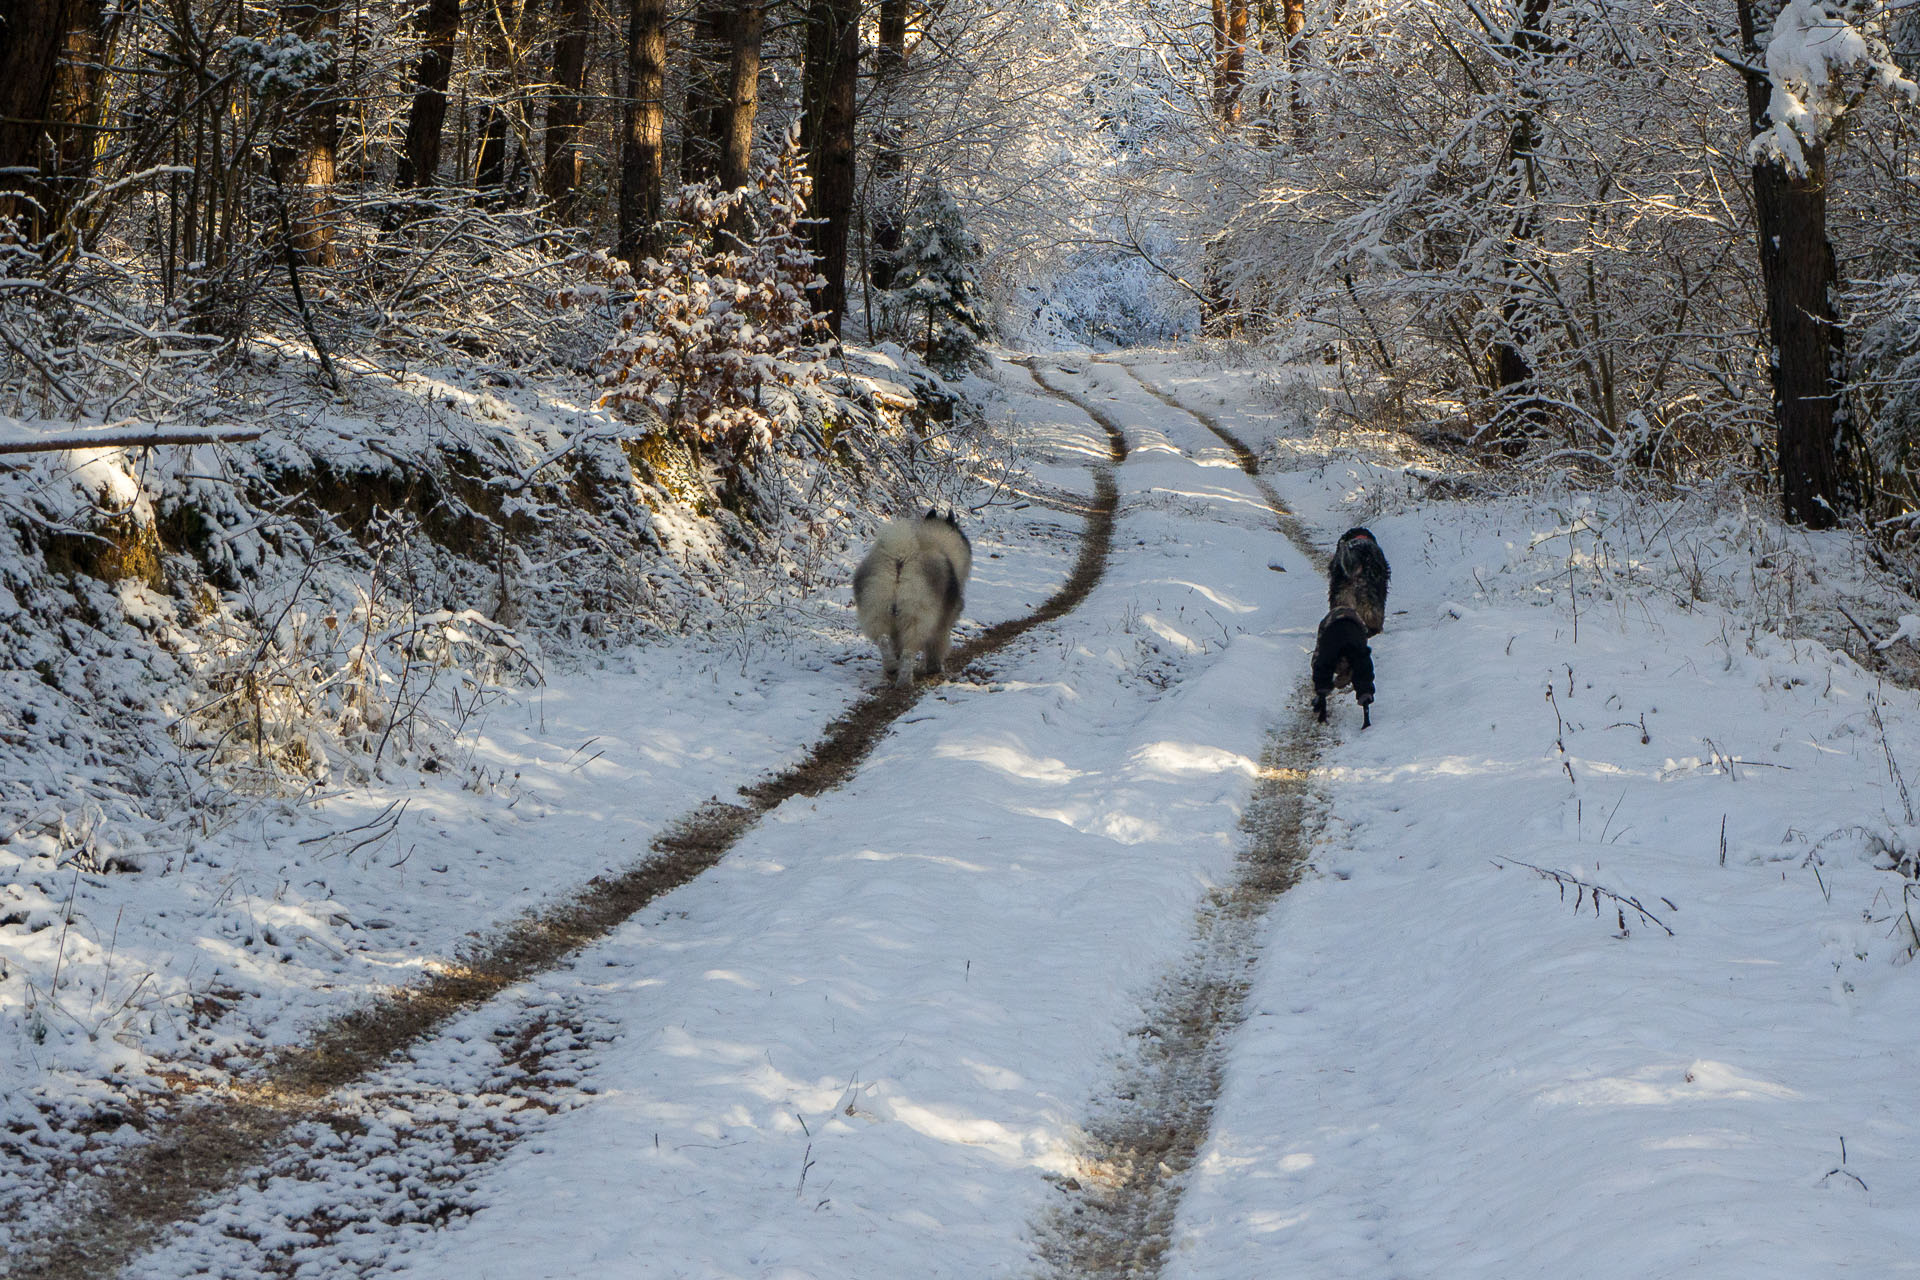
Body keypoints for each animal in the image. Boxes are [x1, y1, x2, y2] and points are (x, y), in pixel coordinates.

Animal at [856, 510, 975, 690]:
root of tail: (901, 558)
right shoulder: (942, 621)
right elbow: (935, 646)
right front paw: (933, 667)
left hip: (876, 610)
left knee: (883, 640)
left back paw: (891, 667)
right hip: (917, 618)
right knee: (909, 651)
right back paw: (905, 681)